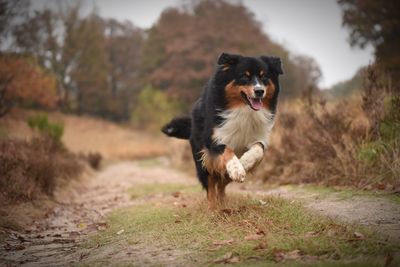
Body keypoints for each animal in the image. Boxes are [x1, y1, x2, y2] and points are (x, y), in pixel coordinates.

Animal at [161, 52, 282, 209]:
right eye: (244, 76)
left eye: (264, 76)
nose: (259, 91)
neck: (243, 110)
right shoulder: (213, 139)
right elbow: (226, 150)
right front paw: (236, 168)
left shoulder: (259, 135)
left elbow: (258, 148)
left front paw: (245, 162)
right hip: (203, 161)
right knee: (211, 186)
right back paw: (213, 207)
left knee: (222, 184)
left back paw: (223, 202)